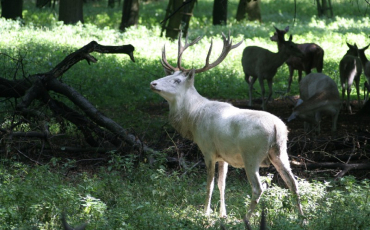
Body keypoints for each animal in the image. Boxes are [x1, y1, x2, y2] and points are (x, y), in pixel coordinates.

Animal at [150, 31, 304, 219]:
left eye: (177, 80)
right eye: (169, 75)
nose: (153, 83)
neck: (193, 119)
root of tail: (277, 127)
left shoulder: (208, 150)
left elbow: (209, 183)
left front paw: (206, 212)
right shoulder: (223, 155)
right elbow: (222, 184)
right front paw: (222, 213)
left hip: (251, 154)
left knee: (258, 188)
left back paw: (246, 218)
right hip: (281, 152)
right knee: (293, 182)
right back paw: (302, 218)